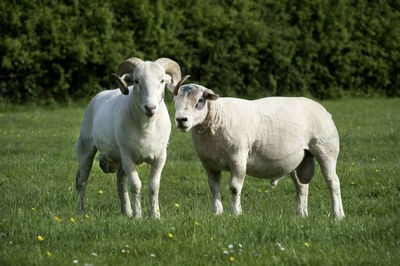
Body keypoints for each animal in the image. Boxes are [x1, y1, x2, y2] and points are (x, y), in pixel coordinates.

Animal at [76, 56, 182, 218]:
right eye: (136, 81)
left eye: (162, 81)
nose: (150, 108)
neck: (147, 129)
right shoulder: (128, 157)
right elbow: (136, 185)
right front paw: (138, 216)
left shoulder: (160, 157)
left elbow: (154, 186)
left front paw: (155, 216)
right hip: (86, 148)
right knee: (82, 181)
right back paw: (81, 211)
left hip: (119, 161)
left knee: (120, 183)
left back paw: (126, 211)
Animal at [170, 76, 346, 218]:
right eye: (174, 101)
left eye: (200, 101)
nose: (181, 120)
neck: (217, 117)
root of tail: (322, 108)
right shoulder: (208, 163)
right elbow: (214, 188)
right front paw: (217, 213)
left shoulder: (238, 158)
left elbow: (234, 188)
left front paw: (236, 213)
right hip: (299, 158)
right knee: (302, 186)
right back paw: (301, 214)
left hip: (326, 149)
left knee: (333, 182)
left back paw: (338, 214)